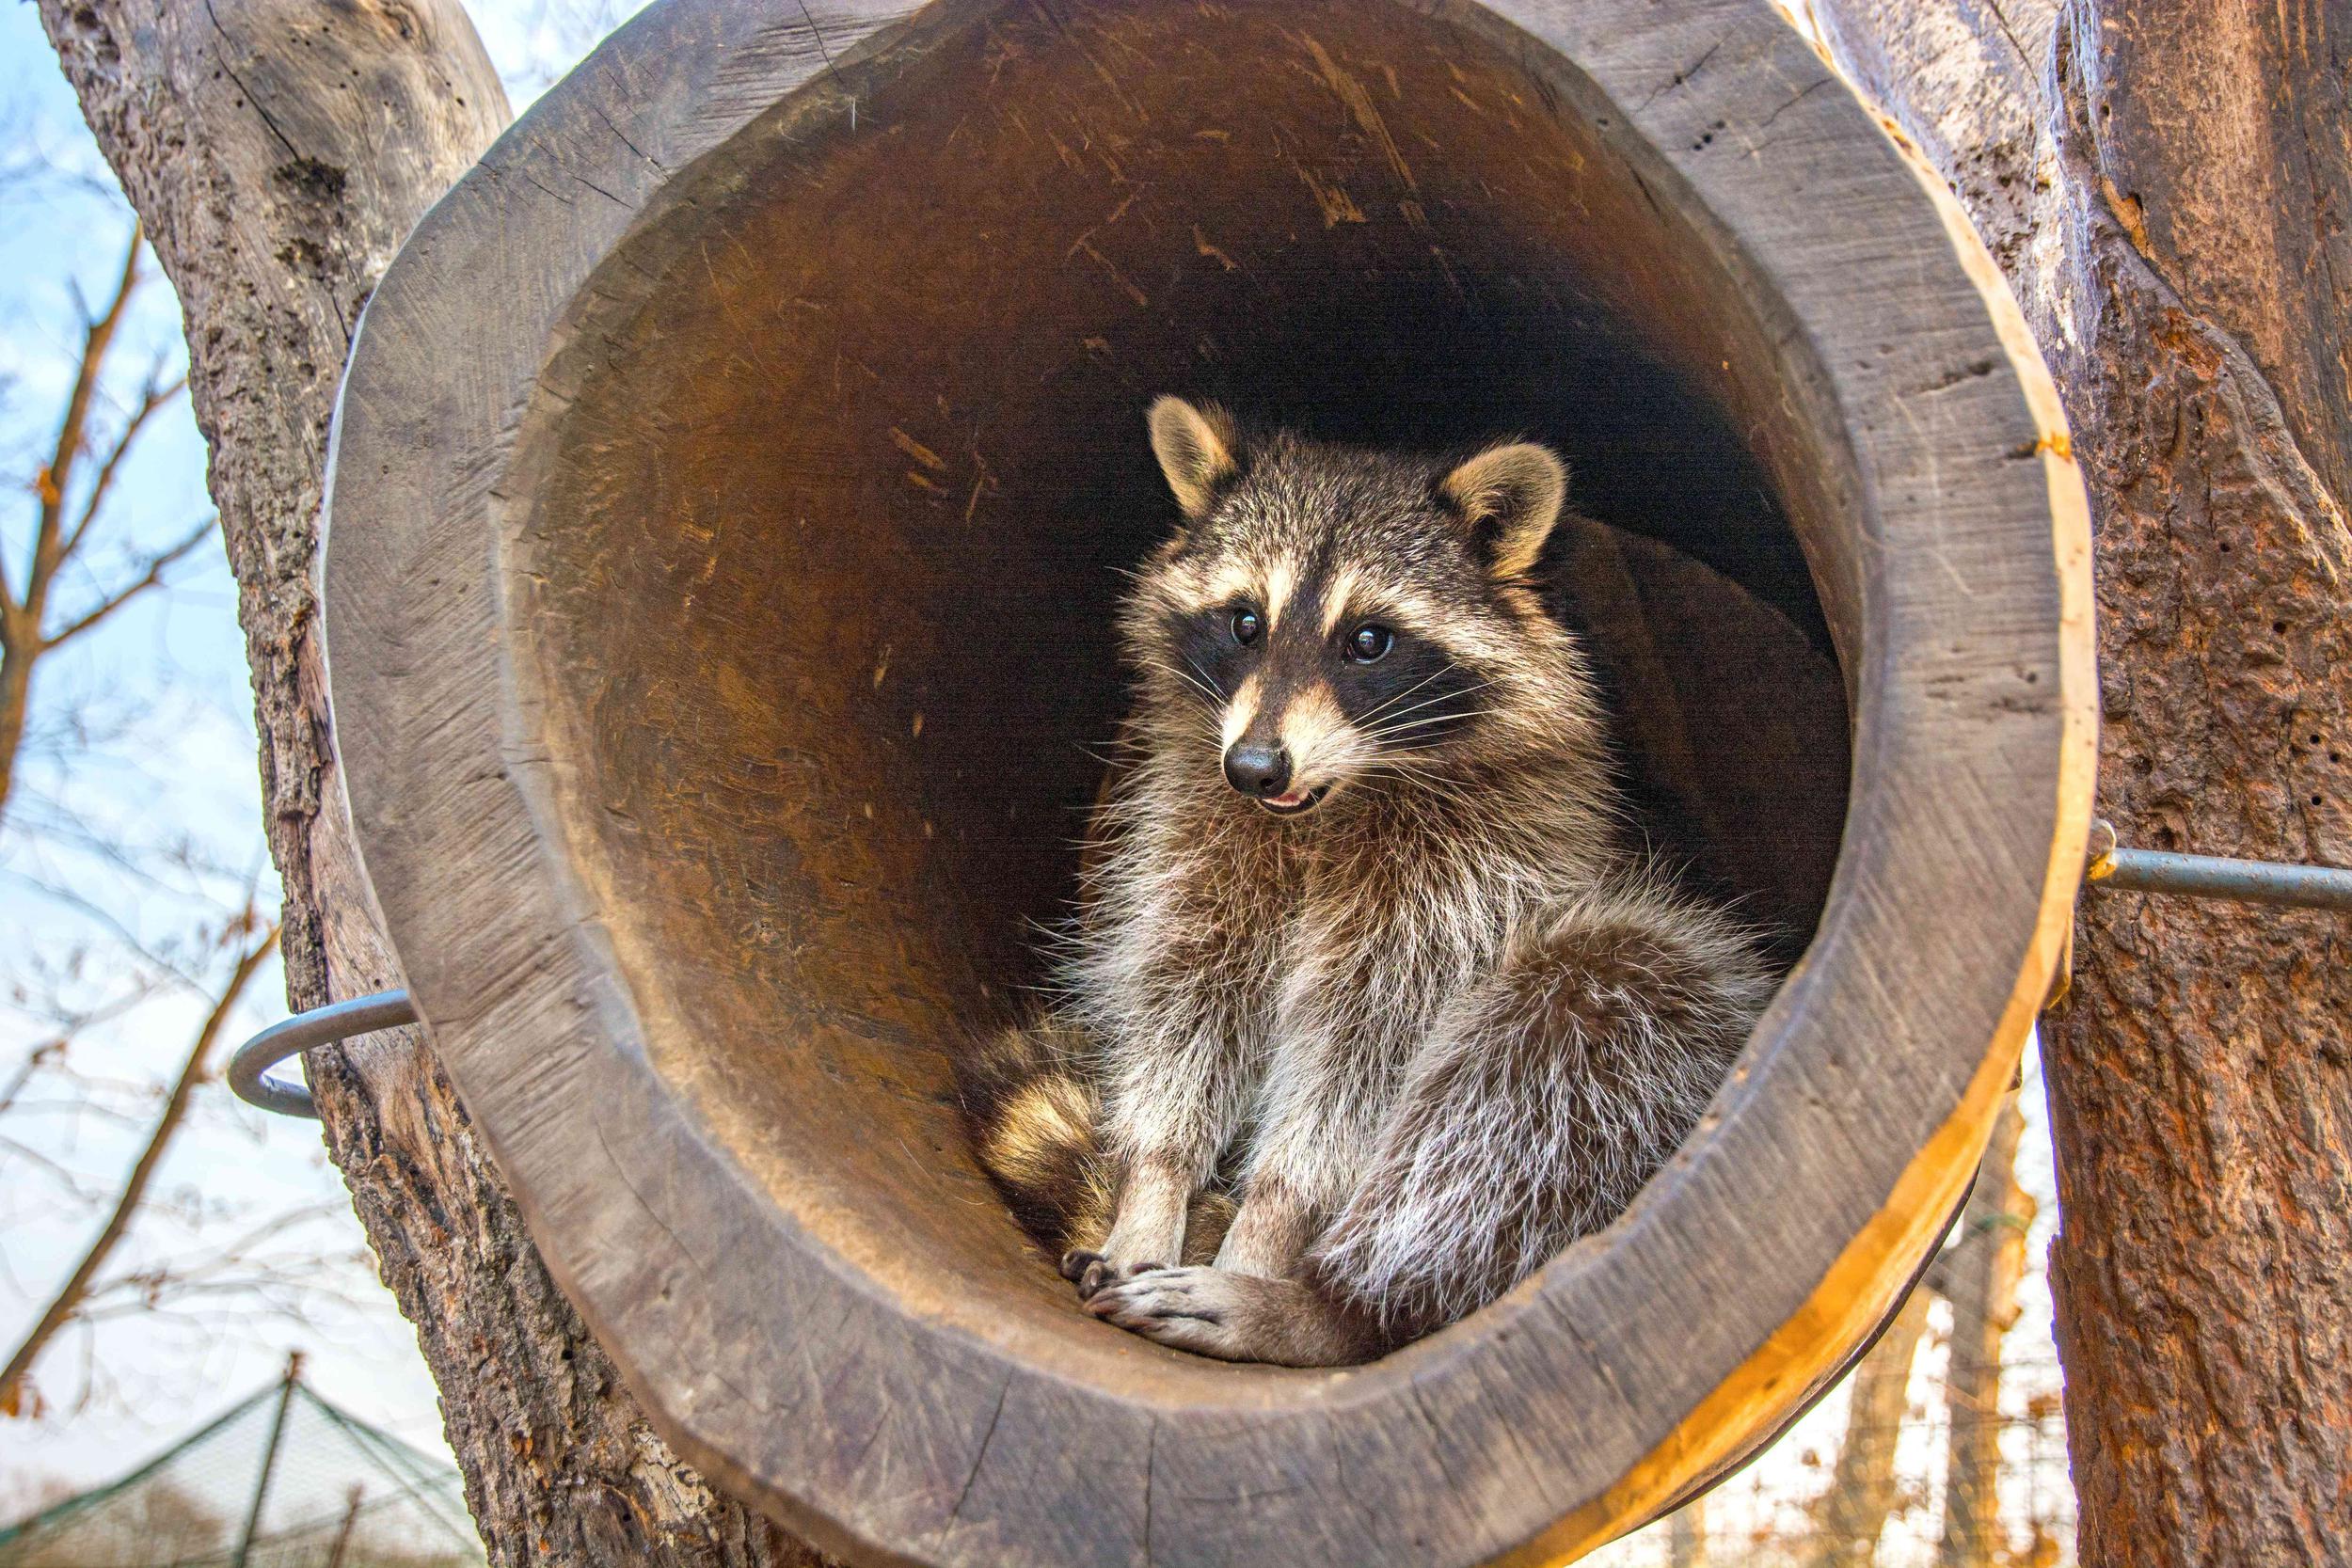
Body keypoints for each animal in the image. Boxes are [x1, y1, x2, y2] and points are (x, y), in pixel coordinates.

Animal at [957, 397, 1775, 1366]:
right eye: (1244, 622)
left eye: (1370, 641)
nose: (1255, 766)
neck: (1321, 810)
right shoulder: (1194, 834)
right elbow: (1184, 1000)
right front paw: (1151, 1183)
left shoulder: (1468, 885)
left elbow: (1364, 1065)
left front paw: (1265, 1236)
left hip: (1655, 1008)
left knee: (1566, 1036)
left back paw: (1325, 1310)